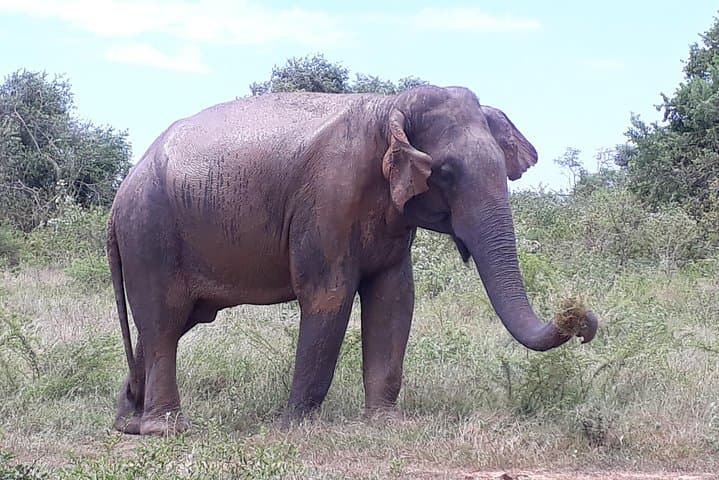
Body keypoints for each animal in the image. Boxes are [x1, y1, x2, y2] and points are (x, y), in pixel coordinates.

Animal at [107, 85, 597, 436]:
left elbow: (395, 300)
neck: (392, 106)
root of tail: (119, 197)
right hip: (150, 233)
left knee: (168, 326)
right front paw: (292, 428)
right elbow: (329, 296)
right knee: (164, 322)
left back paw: (128, 422)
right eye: (445, 173)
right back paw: (165, 430)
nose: (580, 318)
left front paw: (386, 423)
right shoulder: (328, 199)